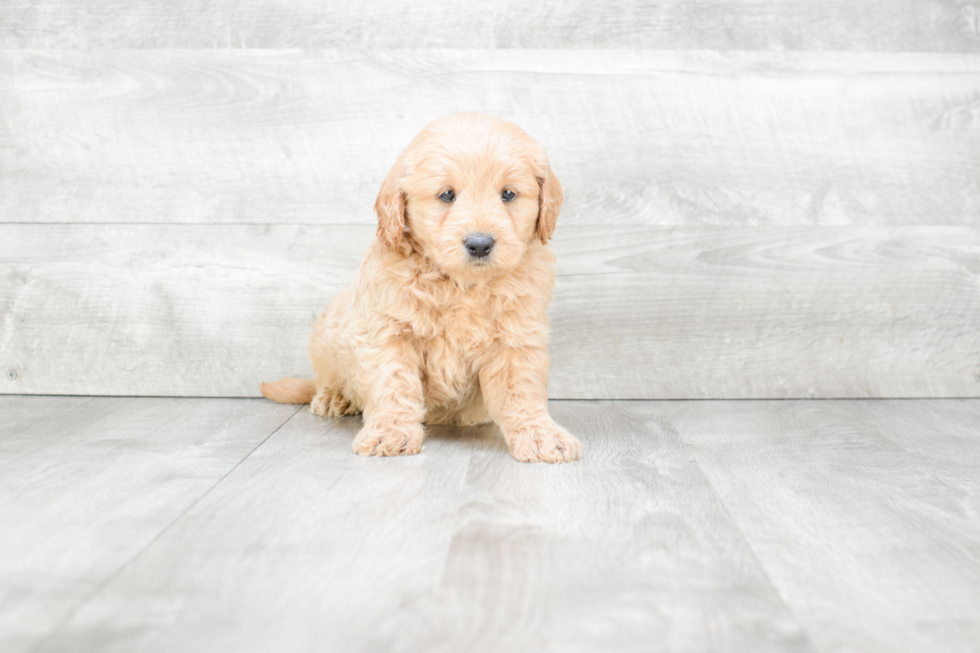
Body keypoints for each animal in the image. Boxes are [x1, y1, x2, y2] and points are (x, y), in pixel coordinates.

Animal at [260, 112, 580, 460]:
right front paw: (390, 433)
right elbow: (394, 385)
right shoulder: (388, 333)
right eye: (447, 195)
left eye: (508, 194)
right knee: (327, 378)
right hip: (325, 339)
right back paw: (334, 397)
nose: (480, 244)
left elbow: (521, 392)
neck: (461, 285)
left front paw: (541, 435)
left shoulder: (516, 339)